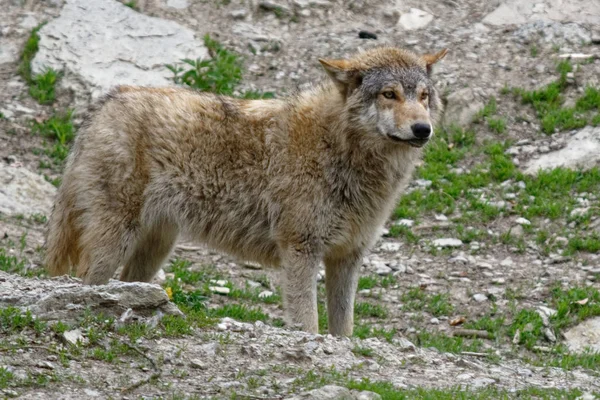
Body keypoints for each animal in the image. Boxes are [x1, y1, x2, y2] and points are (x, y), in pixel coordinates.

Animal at [45, 45, 446, 336]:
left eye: (424, 96)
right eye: (389, 94)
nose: (422, 129)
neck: (340, 148)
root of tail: (105, 102)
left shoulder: (347, 257)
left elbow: (343, 329)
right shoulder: (300, 250)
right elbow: (308, 324)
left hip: (156, 247)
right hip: (113, 245)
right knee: (86, 283)